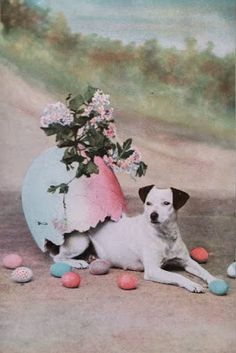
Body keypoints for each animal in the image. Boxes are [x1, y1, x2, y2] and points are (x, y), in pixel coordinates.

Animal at [52, 184, 217, 292]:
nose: (153, 215)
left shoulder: (186, 261)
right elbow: (177, 276)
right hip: (81, 241)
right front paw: (192, 284)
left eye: (166, 203)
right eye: (148, 203)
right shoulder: (152, 270)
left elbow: (203, 271)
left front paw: (214, 280)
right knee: (57, 257)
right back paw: (78, 262)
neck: (165, 237)